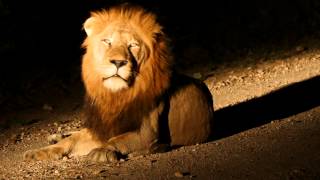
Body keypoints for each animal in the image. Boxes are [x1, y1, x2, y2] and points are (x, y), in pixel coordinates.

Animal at [22, 3, 212, 162]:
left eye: (133, 45)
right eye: (107, 41)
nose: (118, 62)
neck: (116, 95)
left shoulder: (147, 133)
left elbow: (118, 139)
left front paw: (102, 151)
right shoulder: (102, 127)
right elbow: (72, 140)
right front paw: (39, 152)